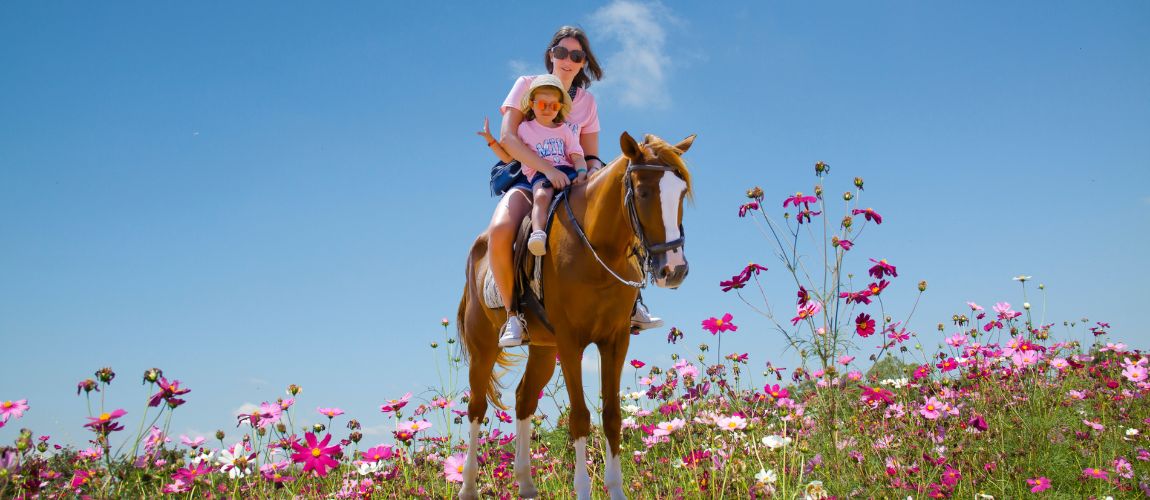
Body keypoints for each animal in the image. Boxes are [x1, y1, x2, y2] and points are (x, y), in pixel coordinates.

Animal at [456, 131, 694, 500]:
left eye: (681, 192)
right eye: (643, 193)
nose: (675, 269)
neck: (596, 248)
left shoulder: (615, 341)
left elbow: (611, 416)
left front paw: (616, 490)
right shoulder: (571, 343)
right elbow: (580, 418)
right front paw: (583, 489)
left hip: (543, 349)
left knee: (524, 398)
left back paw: (526, 483)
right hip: (484, 347)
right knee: (476, 408)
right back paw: (468, 487)